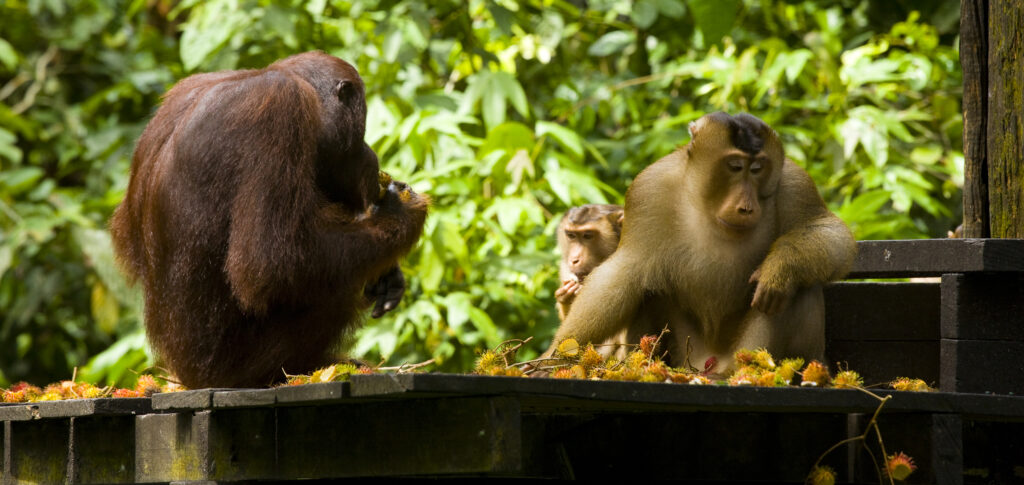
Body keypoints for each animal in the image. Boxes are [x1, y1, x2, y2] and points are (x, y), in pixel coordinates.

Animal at [545, 112, 857, 374]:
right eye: (734, 167)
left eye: (757, 169)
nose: (746, 207)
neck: (708, 204)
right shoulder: (647, 190)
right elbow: (625, 270)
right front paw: (557, 356)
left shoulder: (794, 181)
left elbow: (828, 231)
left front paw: (780, 267)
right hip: (686, 354)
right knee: (645, 287)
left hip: (743, 352)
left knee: (796, 288)